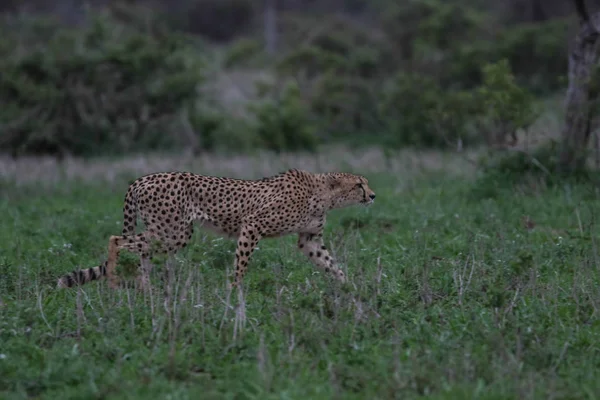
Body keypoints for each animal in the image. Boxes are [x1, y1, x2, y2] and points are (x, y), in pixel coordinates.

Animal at [56, 169, 376, 290]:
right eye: (359, 184)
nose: (373, 196)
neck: (323, 194)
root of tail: (142, 178)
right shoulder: (252, 225)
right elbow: (241, 265)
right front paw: (236, 294)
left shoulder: (309, 240)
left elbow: (332, 264)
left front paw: (351, 289)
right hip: (173, 232)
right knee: (116, 240)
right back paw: (112, 284)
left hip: (167, 233)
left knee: (141, 253)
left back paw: (147, 293)